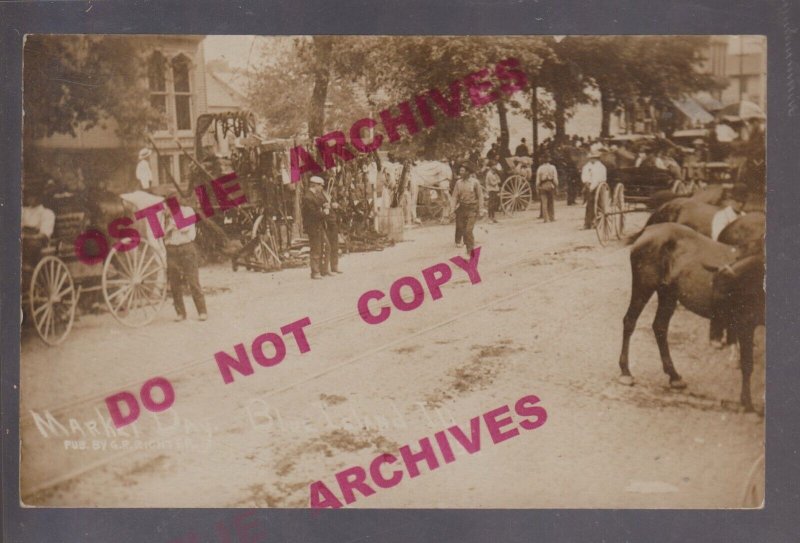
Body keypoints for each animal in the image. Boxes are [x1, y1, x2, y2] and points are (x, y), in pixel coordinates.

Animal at [620, 224, 764, 412]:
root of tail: (649, 229)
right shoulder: (746, 323)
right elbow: (747, 364)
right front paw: (747, 403)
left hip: (668, 293)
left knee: (660, 327)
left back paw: (674, 376)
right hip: (643, 287)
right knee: (630, 321)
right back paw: (626, 373)